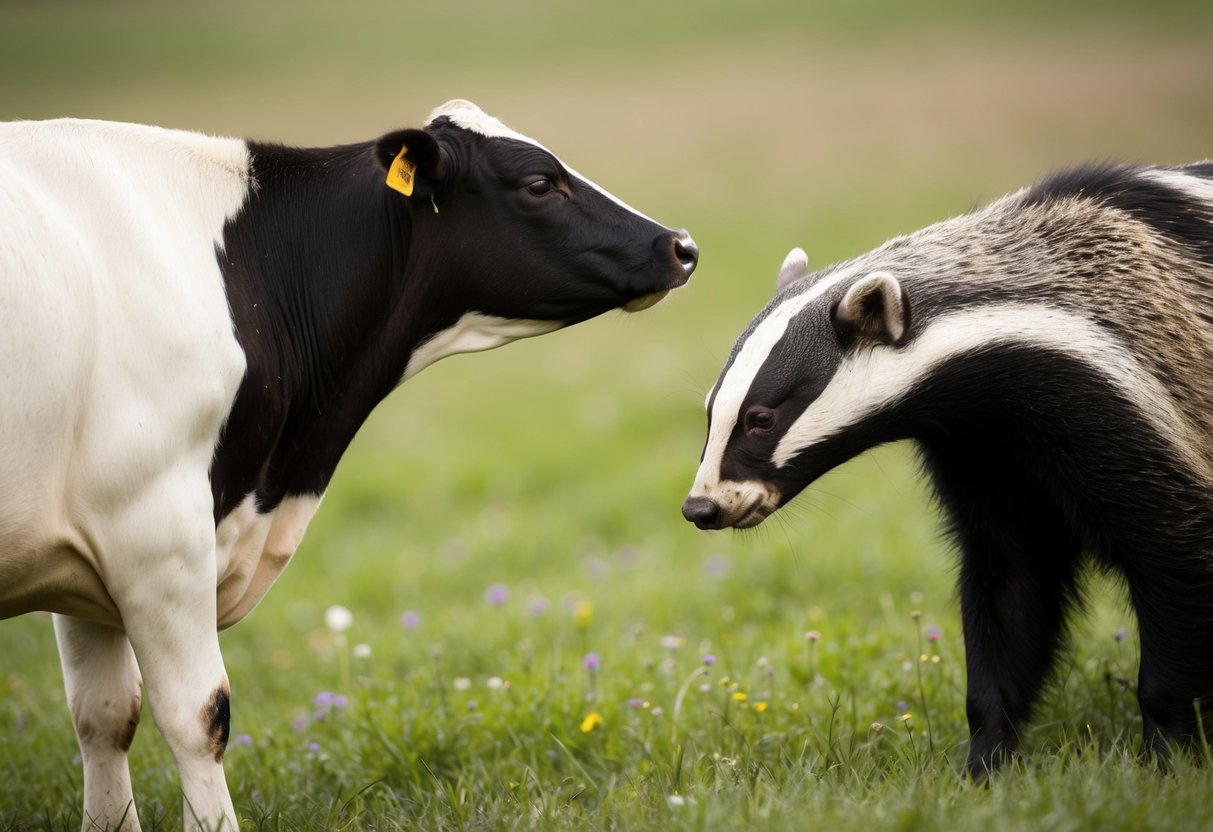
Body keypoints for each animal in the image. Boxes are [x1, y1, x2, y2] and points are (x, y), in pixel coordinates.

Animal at [0, 99, 697, 830]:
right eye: (538, 183)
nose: (679, 245)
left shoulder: (96, 562)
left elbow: (105, 716)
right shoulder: (155, 533)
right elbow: (199, 716)